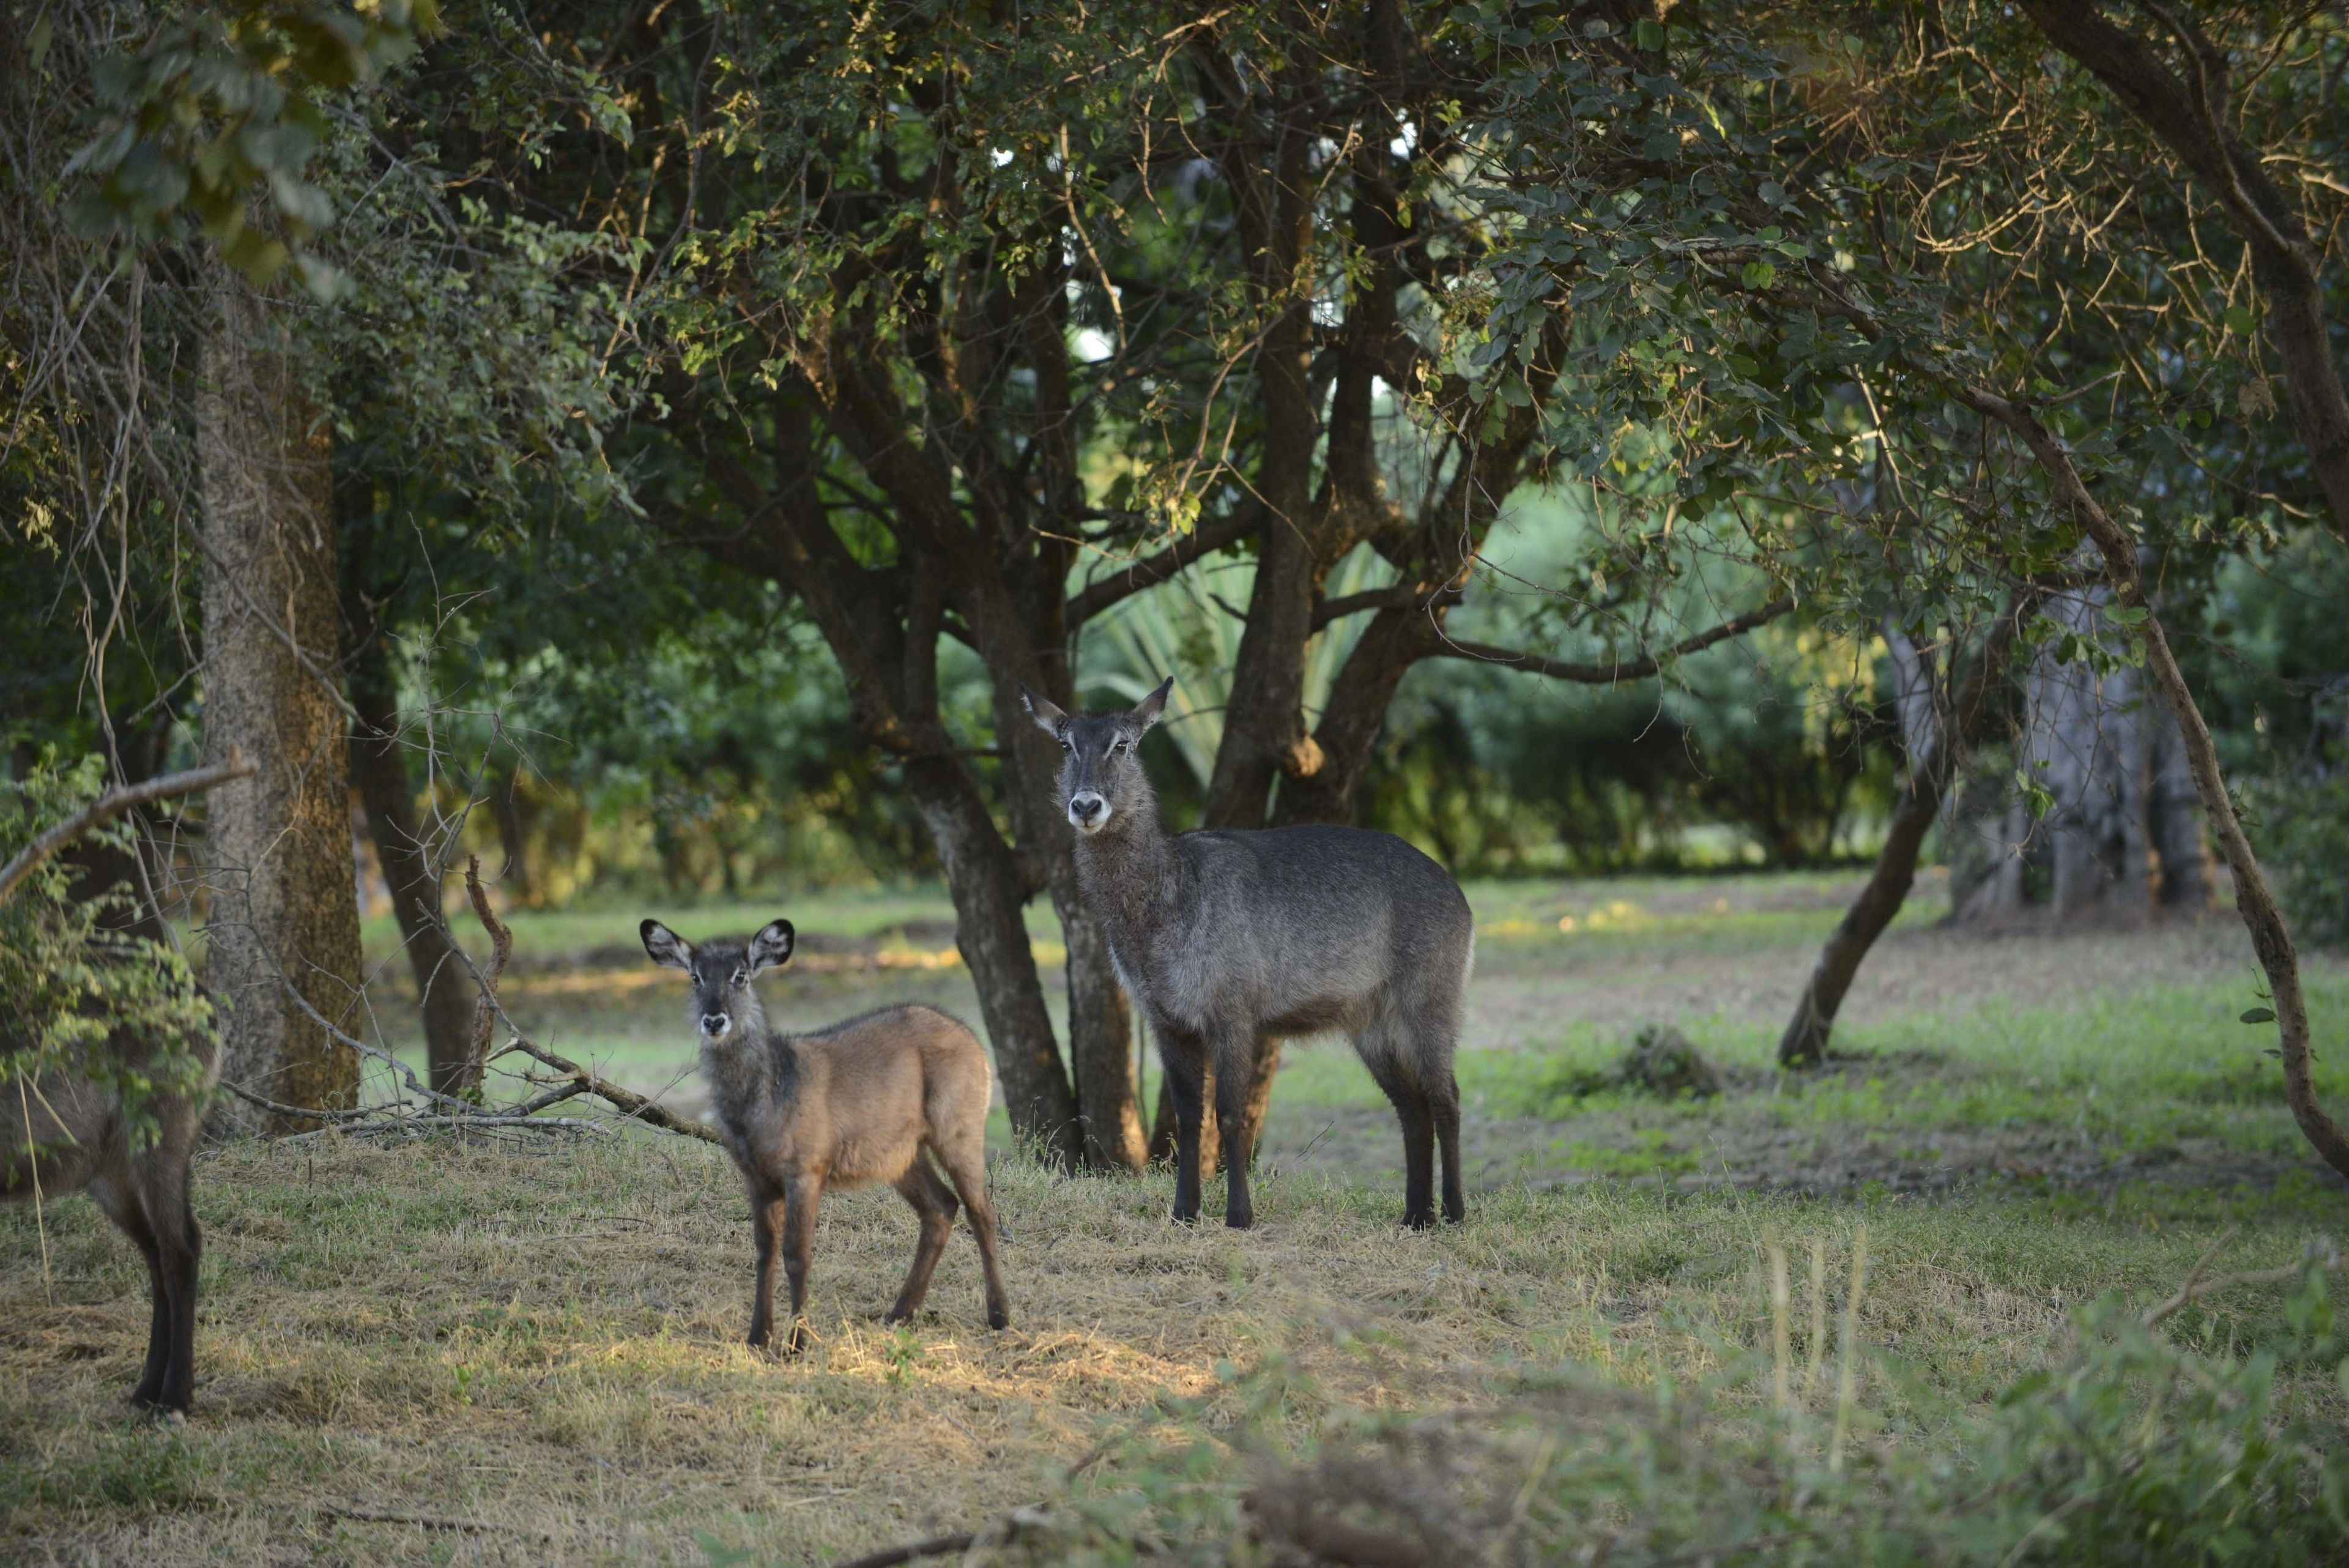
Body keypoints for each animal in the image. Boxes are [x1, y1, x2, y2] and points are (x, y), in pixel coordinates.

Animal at [639, 917, 1010, 1353]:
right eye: (695, 977)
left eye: (740, 976)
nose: (715, 1020)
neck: (763, 1102)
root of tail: (975, 1042)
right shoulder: (756, 1176)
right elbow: (763, 1251)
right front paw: (758, 1336)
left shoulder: (806, 1168)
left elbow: (798, 1254)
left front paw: (797, 1342)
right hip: (901, 1154)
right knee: (941, 1208)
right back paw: (899, 1314)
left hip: (958, 1128)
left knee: (981, 1211)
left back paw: (999, 1315)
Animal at [1020, 679, 1476, 1231]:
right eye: (1067, 745)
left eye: (1122, 744)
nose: (1087, 806)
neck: (1167, 899)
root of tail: (1459, 895)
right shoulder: (1166, 1020)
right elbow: (1188, 1119)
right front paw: (1184, 1212)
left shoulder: (1232, 1015)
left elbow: (1230, 1114)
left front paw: (1239, 1214)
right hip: (1371, 1026)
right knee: (1413, 1108)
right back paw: (1414, 1216)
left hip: (1430, 1003)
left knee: (1446, 1099)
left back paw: (1453, 1211)